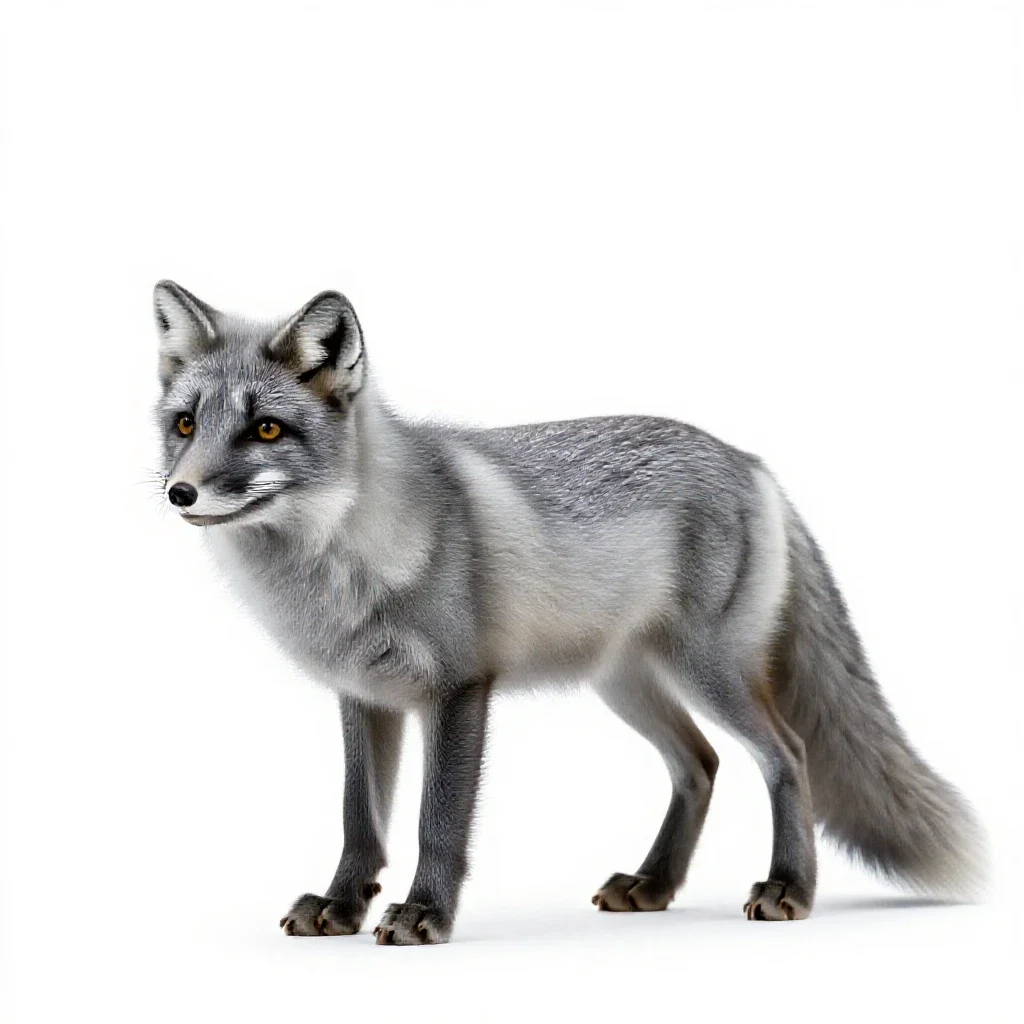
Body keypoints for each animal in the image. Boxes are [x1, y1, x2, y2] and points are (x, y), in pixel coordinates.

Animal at [153, 280, 986, 944]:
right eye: (185, 424)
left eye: (265, 428)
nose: (179, 493)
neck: (341, 565)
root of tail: (750, 462)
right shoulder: (363, 697)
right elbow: (360, 822)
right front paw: (341, 905)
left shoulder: (459, 690)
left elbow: (436, 824)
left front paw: (425, 914)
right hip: (626, 684)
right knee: (701, 765)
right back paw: (654, 885)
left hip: (710, 674)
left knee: (789, 755)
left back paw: (791, 887)